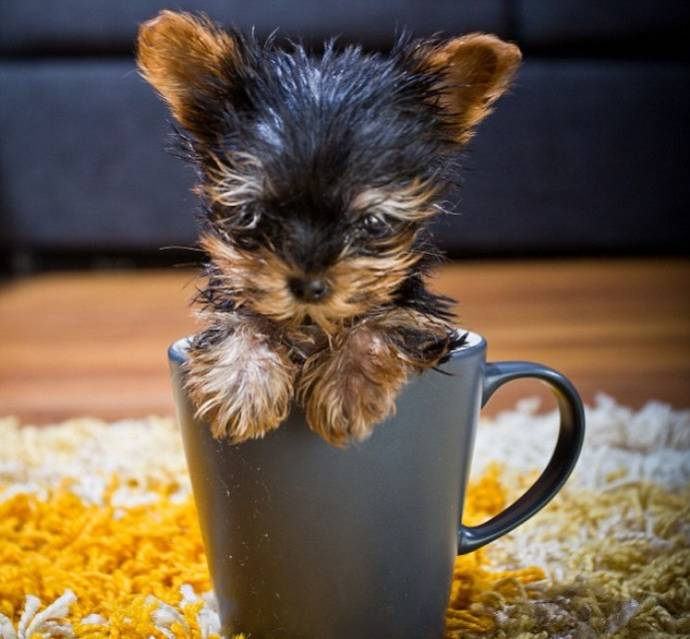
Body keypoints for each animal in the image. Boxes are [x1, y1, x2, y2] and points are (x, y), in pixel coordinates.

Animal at [137, 12, 520, 448]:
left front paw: (348, 388)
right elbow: (244, 318)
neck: (311, 324)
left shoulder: (421, 316)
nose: (309, 287)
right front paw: (240, 382)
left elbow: (386, 320)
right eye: (253, 215)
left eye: (373, 222)